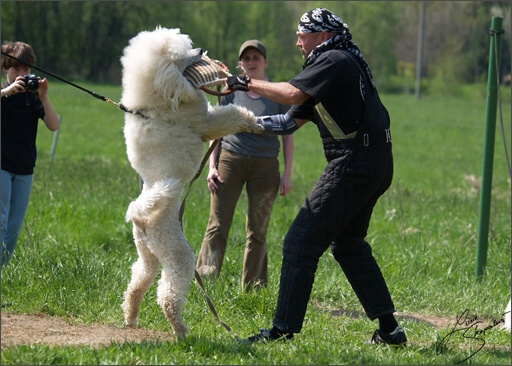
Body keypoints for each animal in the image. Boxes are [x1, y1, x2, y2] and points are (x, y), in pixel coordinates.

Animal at [120, 26, 264, 340]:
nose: (200, 51)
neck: (158, 96)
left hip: (148, 254)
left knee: (137, 284)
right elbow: (233, 116)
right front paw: (256, 124)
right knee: (168, 297)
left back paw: (131, 319)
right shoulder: (207, 124)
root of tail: (141, 216)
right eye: (182, 56)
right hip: (179, 257)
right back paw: (182, 332)